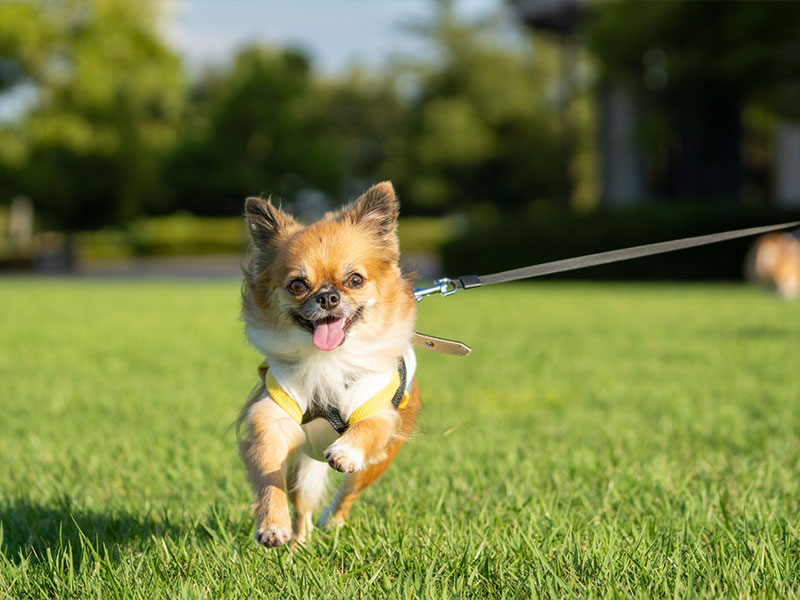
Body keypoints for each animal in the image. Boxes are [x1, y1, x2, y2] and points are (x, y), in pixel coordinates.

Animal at [238, 182, 422, 548]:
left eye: (355, 280)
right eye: (297, 285)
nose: (327, 297)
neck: (327, 359)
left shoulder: (379, 413)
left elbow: (366, 429)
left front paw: (344, 452)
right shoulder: (273, 421)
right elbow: (268, 475)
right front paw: (272, 524)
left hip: (374, 466)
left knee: (346, 495)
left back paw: (331, 521)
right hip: (301, 467)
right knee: (302, 505)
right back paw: (298, 541)